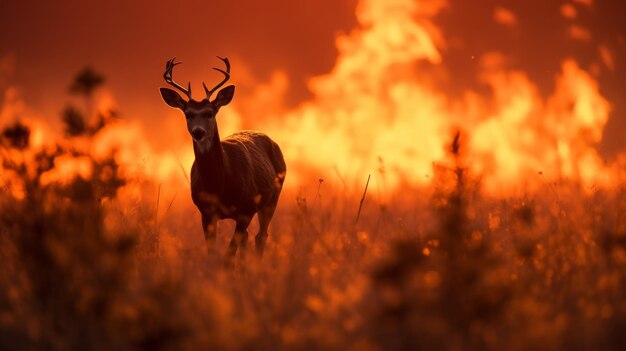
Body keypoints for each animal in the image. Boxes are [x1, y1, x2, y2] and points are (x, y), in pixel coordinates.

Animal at [161, 56, 288, 262]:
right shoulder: (205, 212)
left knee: (261, 235)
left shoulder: (246, 209)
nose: (198, 132)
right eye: (188, 114)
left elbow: (229, 253)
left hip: (273, 197)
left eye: (209, 113)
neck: (220, 186)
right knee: (249, 237)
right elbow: (212, 252)